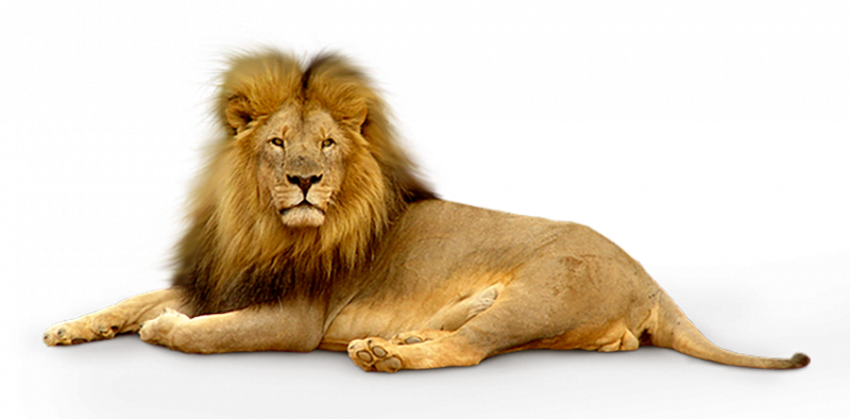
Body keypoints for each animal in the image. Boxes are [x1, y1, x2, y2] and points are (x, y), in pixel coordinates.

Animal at [41, 37, 810, 372]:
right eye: (278, 142)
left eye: (326, 145)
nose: (305, 181)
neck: (258, 224)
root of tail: (648, 277)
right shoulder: (218, 278)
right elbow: (128, 302)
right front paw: (67, 328)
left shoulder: (293, 318)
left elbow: (204, 332)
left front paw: (166, 330)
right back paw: (393, 340)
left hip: (539, 294)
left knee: (468, 351)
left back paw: (383, 355)